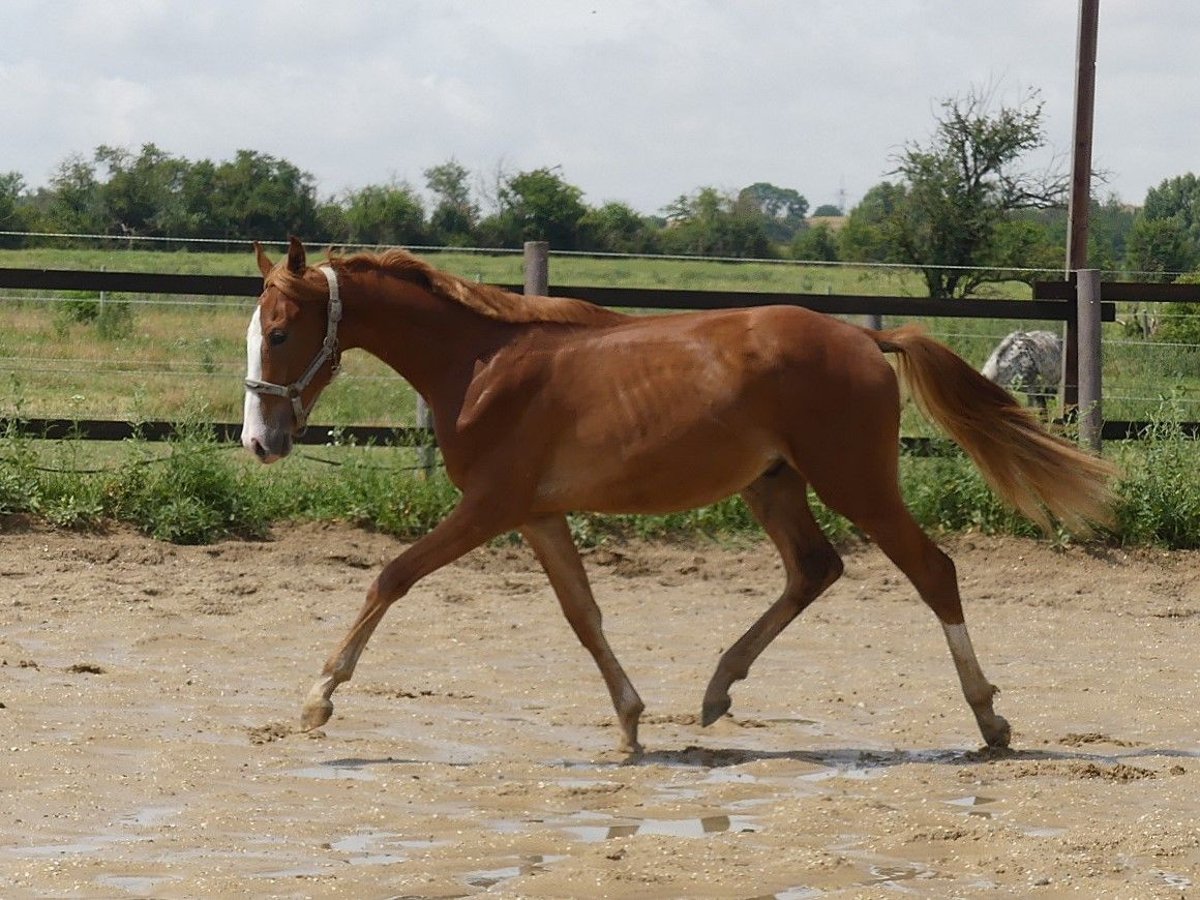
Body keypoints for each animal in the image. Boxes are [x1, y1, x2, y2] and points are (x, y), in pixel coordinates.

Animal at [243, 241, 1113, 753]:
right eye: (255, 333)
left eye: (280, 333)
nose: (261, 440)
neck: (481, 365)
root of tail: (867, 337)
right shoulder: (537, 514)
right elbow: (583, 614)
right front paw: (631, 722)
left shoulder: (490, 508)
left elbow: (391, 576)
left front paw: (317, 700)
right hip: (775, 485)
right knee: (814, 569)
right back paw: (718, 689)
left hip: (856, 481)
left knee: (933, 572)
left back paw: (990, 719)